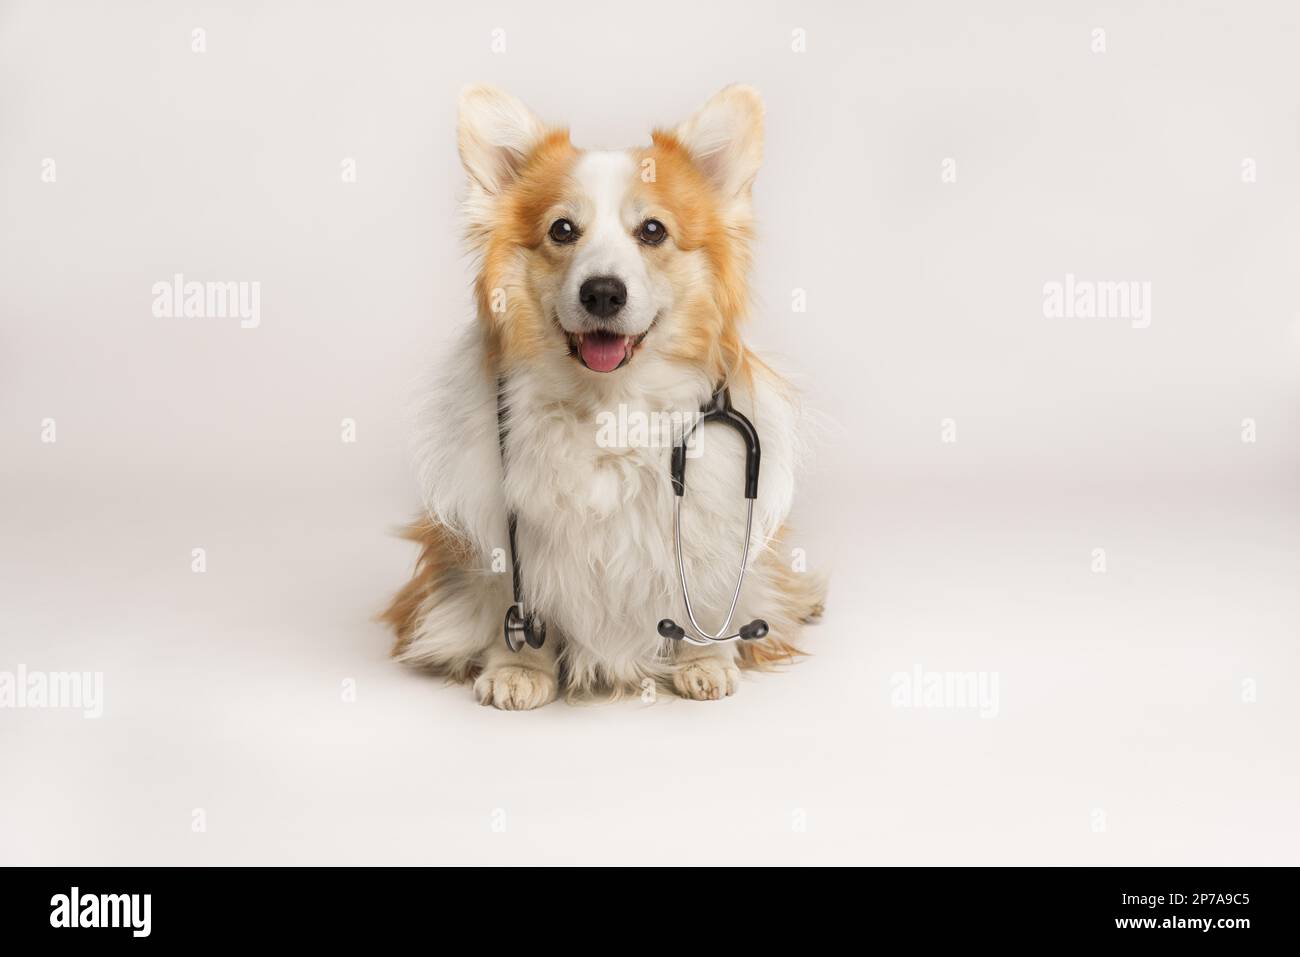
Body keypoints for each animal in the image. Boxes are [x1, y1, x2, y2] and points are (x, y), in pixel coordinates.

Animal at [379, 85, 821, 707]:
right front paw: (519, 667)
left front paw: (703, 659)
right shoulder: (496, 534)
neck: (609, 406)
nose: (603, 292)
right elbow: (509, 598)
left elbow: (705, 589)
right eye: (563, 230)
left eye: (653, 231)